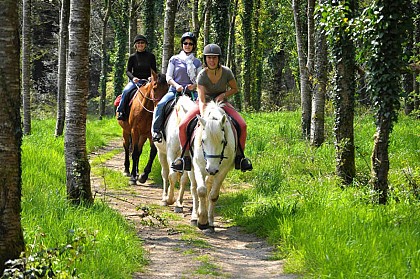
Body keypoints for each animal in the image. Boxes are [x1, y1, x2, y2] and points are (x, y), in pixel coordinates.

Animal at [189, 101, 236, 233]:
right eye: (203, 140)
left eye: (223, 141)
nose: (212, 169)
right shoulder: (198, 166)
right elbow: (201, 191)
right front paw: (201, 221)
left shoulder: (222, 170)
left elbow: (213, 195)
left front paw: (209, 222)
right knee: (194, 189)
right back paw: (194, 217)